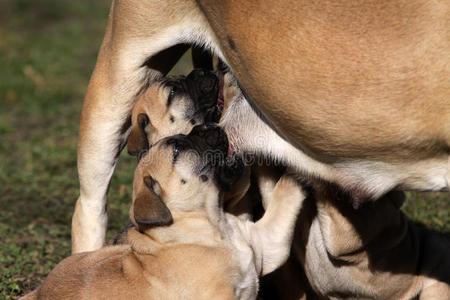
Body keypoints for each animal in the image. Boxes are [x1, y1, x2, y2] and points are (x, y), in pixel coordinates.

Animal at [23, 125, 306, 300]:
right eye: (178, 148)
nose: (207, 125)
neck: (214, 224)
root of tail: (38, 291)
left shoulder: (268, 244)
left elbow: (284, 196)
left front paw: (300, 164)